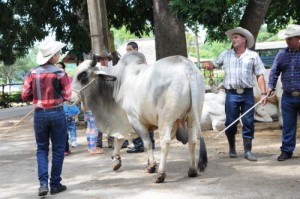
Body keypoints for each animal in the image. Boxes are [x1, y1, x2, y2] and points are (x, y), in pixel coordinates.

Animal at [71, 51, 207, 183]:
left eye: (82, 75)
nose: (70, 97)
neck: (118, 82)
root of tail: (186, 65)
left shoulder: (134, 120)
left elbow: (146, 143)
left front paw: (151, 166)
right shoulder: (126, 120)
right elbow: (119, 139)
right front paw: (116, 160)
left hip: (166, 119)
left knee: (165, 142)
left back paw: (160, 175)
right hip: (193, 117)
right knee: (193, 141)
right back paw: (192, 170)